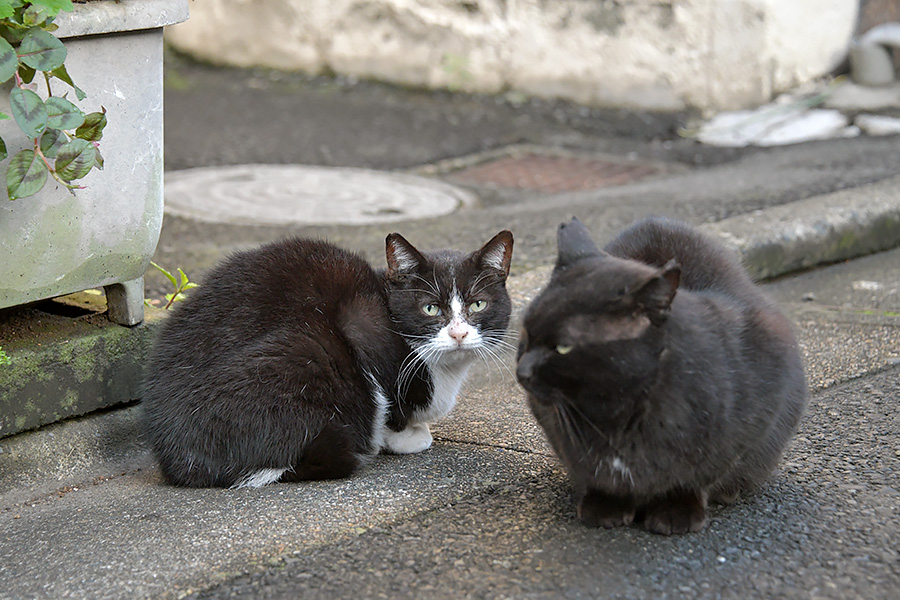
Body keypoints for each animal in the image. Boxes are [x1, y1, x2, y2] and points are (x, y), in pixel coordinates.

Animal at [516, 217, 804, 536]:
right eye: (526, 332)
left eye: (563, 347)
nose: (522, 370)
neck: (616, 415)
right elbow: (592, 473)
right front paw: (606, 505)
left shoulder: (752, 416)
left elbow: (697, 475)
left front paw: (676, 510)